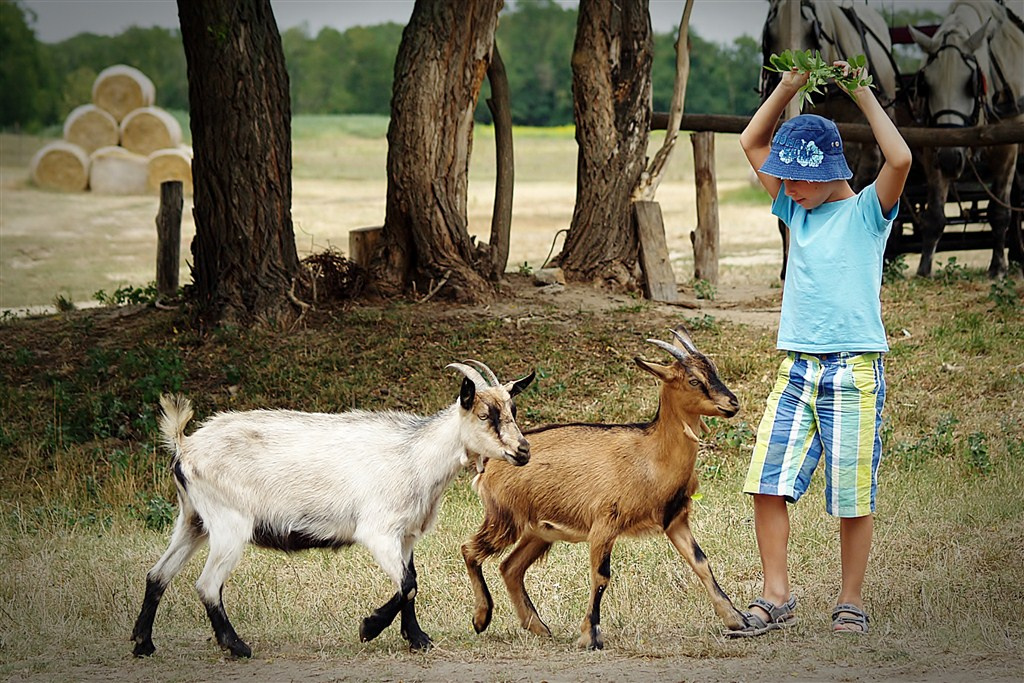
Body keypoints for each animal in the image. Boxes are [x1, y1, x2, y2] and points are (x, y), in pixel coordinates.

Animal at [130, 360, 536, 659]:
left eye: (512, 409)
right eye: (484, 414)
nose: (523, 451)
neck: (416, 454)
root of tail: (184, 445)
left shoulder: (405, 535)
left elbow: (411, 583)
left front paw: (418, 639)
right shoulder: (378, 531)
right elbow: (407, 584)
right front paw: (369, 627)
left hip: (193, 520)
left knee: (157, 574)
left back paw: (143, 643)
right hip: (229, 523)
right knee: (207, 584)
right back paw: (237, 646)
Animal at [462, 327, 745, 651]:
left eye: (714, 369)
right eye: (694, 380)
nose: (732, 403)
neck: (651, 456)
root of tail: (490, 463)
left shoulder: (675, 520)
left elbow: (701, 562)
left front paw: (736, 619)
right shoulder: (604, 525)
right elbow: (601, 576)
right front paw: (590, 635)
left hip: (539, 531)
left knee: (510, 567)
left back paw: (539, 627)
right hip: (504, 518)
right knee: (470, 550)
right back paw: (481, 618)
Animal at [913, 0, 1024, 278]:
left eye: (971, 83)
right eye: (925, 84)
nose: (950, 159)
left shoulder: (1007, 146)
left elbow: (999, 211)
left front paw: (997, 267)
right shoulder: (932, 146)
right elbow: (934, 214)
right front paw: (924, 269)